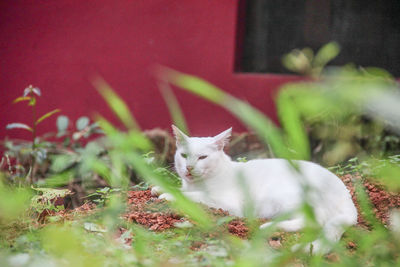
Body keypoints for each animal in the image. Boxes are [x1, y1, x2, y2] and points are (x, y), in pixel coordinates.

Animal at [155, 125, 356, 255]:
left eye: (202, 157)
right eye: (184, 155)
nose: (188, 167)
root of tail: (346, 195)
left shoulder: (227, 202)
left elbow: (193, 196)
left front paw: (168, 194)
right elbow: (181, 189)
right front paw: (159, 188)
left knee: (315, 221)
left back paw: (269, 226)